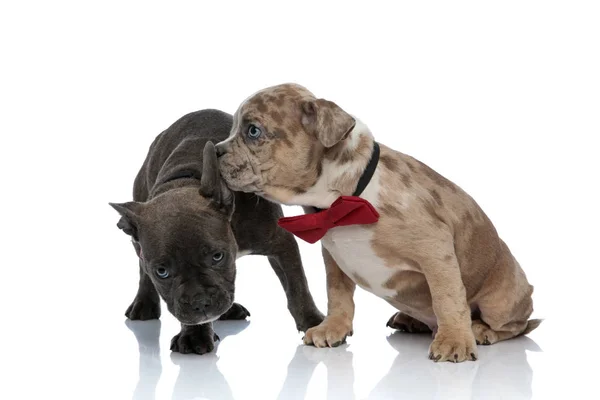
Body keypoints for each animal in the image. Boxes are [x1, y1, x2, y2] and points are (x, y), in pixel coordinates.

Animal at [214, 83, 540, 360]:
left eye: (253, 131)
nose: (215, 149)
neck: (342, 201)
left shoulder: (435, 249)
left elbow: (447, 297)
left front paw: (454, 342)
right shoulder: (334, 258)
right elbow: (338, 295)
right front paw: (333, 328)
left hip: (501, 300)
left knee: (515, 326)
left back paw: (480, 330)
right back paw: (411, 319)